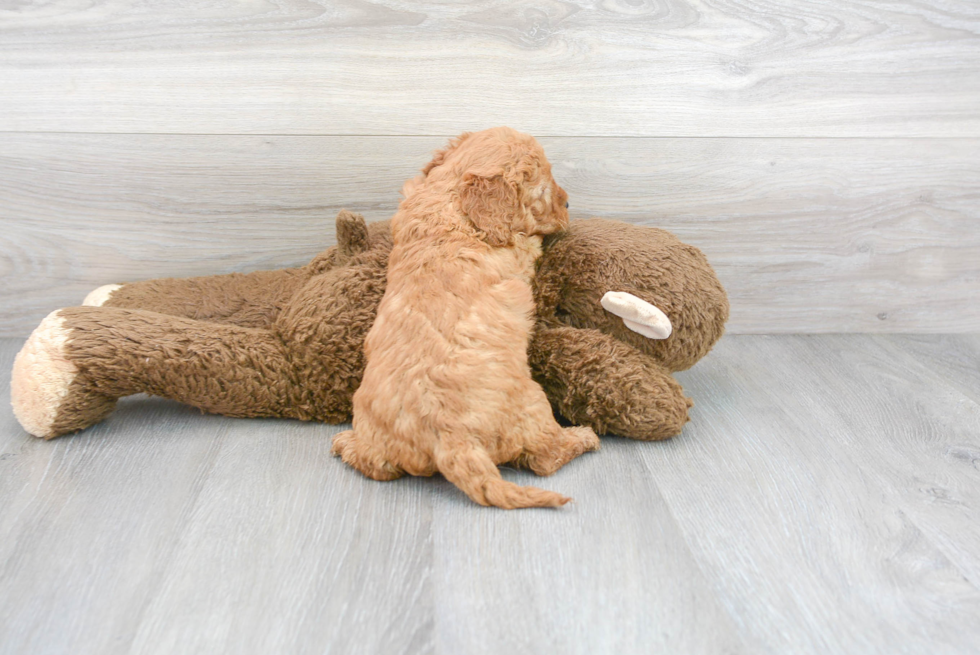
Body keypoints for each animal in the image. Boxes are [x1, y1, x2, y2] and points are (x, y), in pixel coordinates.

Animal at [334, 127, 600, 508]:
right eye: (543, 188)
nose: (567, 204)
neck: (449, 199)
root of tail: (450, 439)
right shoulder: (519, 248)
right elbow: (531, 241)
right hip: (534, 405)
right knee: (545, 458)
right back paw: (582, 437)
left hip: (379, 441)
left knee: (377, 466)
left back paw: (345, 443)